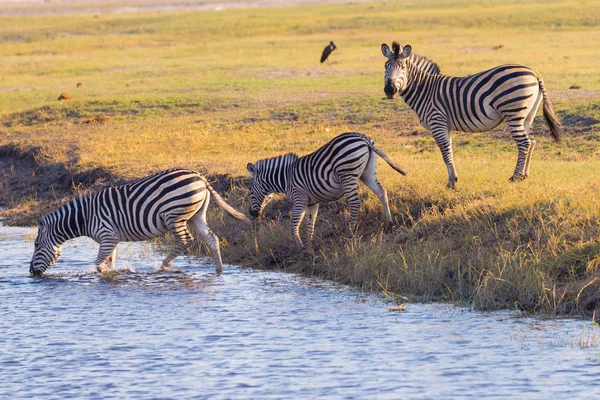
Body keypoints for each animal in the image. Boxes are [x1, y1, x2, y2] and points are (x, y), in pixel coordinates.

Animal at [29, 168, 250, 276]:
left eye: (36, 245)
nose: (31, 272)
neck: (84, 218)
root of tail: (200, 177)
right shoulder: (111, 239)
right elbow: (109, 261)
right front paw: (113, 273)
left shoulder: (107, 236)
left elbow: (99, 264)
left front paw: (106, 272)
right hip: (196, 215)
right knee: (211, 238)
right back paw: (219, 270)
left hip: (174, 215)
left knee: (186, 240)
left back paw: (164, 266)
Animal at [245, 133, 408, 248]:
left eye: (251, 192)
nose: (252, 214)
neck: (286, 177)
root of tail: (363, 138)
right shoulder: (311, 203)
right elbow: (310, 224)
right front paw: (309, 246)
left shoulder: (299, 198)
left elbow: (294, 223)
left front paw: (300, 246)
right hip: (367, 172)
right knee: (381, 192)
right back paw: (389, 223)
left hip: (347, 174)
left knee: (355, 203)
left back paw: (350, 233)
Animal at [380, 41, 564, 188]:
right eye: (385, 67)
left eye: (403, 67)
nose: (389, 90)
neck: (425, 90)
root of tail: (534, 72)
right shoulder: (444, 125)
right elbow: (449, 151)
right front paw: (452, 179)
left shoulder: (437, 121)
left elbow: (445, 152)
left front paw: (452, 182)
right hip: (527, 115)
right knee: (531, 141)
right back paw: (524, 175)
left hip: (513, 112)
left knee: (524, 142)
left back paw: (515, 177)